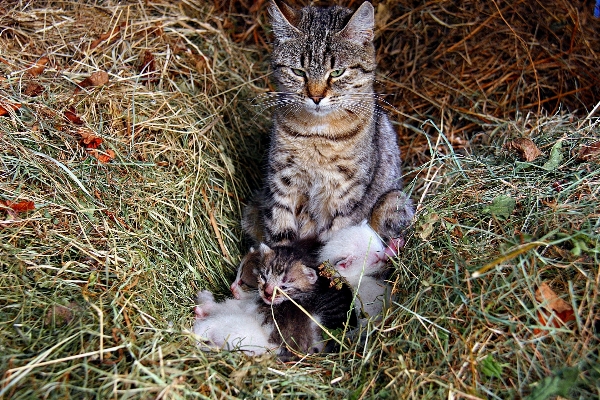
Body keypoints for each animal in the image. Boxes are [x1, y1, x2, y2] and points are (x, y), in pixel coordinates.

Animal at [241, 0, 414, 247]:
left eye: (337, 72)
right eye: (298, 71)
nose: (316, 97)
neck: (317, 133)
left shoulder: (345, 193)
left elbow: (335, 236)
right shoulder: (282, 182)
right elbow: (280, 232)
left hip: (394, 200)